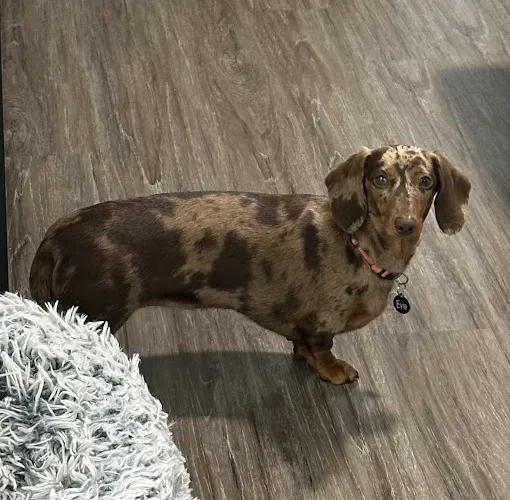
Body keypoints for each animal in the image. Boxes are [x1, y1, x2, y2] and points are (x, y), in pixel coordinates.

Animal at [29, 145, 471, 384]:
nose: (405, 224)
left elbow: (302, 345)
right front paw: (333, 370)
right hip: (94, 313)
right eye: (379, 178)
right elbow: (322, 349)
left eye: (427, 182)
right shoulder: (322, 324)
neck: (359, 246)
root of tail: (56, 236)